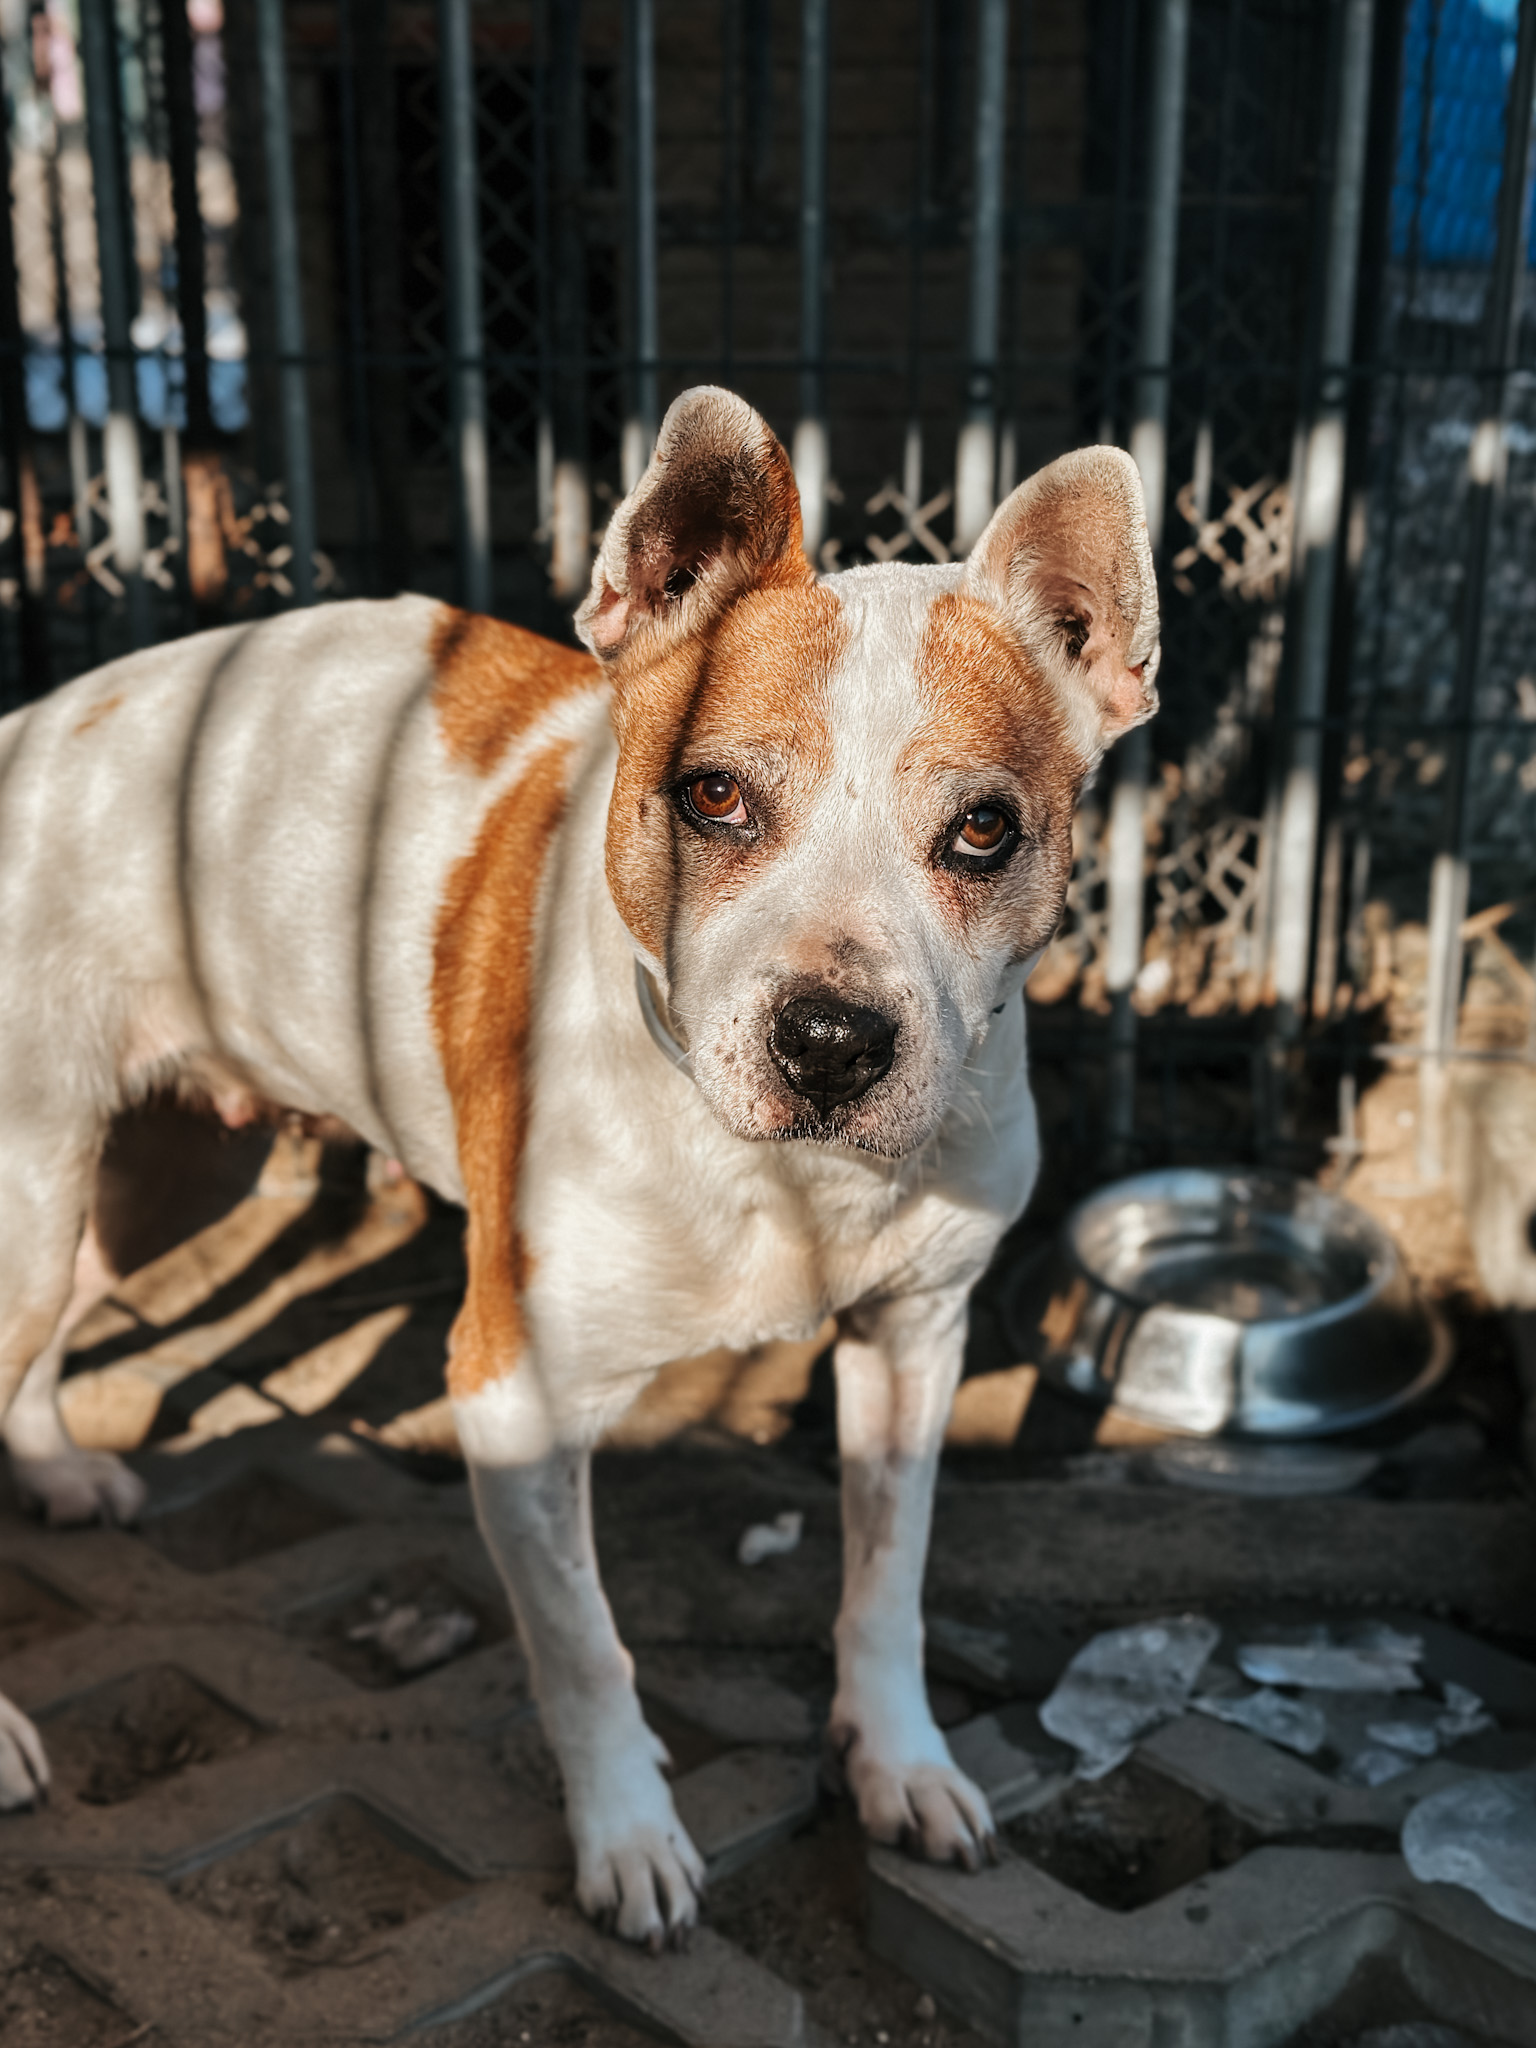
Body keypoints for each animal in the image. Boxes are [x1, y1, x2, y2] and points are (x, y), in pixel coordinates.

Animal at [0, 388, 1158, 1947]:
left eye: (984, 829)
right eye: (714, 796)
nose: (831, 1041)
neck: (785, 1182)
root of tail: (31, 723)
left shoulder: (913, 1344)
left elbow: (888, 1579)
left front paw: (899, 1761)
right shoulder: (513, 1402)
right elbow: (587, 1649)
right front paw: (629, 1839)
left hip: (140, 1186)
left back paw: (57, 1467)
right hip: (34, 1195)